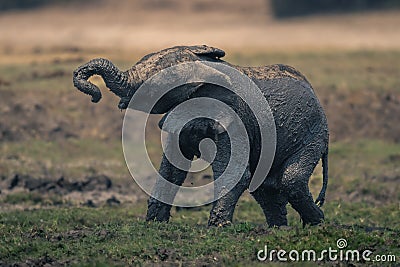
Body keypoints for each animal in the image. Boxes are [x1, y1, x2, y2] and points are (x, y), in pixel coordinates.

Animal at [73, 44, 330, 228]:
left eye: (153, 88)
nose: (95, 95)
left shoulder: (232, 115)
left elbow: (235, 173)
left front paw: (216, 228)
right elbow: (172, 170)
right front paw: (153, 224)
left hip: (314, 132)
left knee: (290, 180)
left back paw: (317, 225)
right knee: (265, 187)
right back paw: (280, 229)